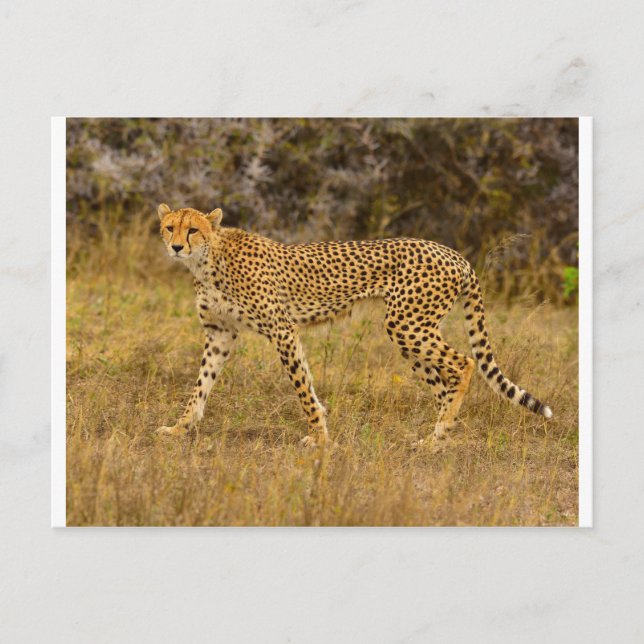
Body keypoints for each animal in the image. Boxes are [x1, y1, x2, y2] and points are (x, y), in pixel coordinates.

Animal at [155, 203, 552, 447]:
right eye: (169, 228)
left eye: (193, 230)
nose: (175, 247)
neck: (208, 260)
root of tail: (453, 253)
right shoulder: (220, 333)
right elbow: (201, 385)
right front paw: (179, 427)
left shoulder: (283, 330)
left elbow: (302, 386)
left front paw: (318, 437)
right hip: (411, 331)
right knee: (443, 382)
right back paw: (437, 437)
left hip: (406, 324)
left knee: (465, 363)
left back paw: (440, 432)